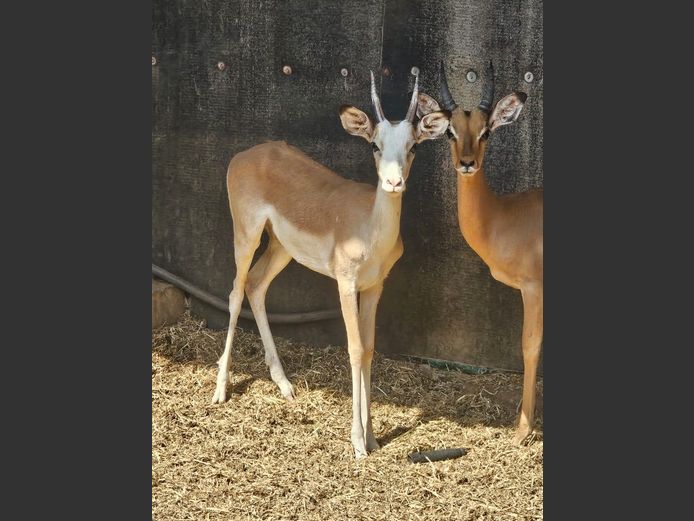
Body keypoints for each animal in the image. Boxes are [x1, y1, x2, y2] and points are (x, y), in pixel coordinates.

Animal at [212, 72, 451, 457]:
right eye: (375, 145)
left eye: (413, 146)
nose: (394, 182)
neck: (370, 231)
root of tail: (246, 155)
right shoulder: (346, 284)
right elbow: (354, 349)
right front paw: (357, 442)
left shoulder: (375, 287)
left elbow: (369, 350)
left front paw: (372, 436)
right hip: (246, 235)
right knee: (235, 293)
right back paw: (220, 389)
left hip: (281, 248)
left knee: (256, 286)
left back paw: (284, 384)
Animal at [417, 62, 543, 445]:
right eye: (450, 132)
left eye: (486, 132)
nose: (467, 163)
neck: (504, 218)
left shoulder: (534, 289)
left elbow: (529, 346)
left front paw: (523, 429)